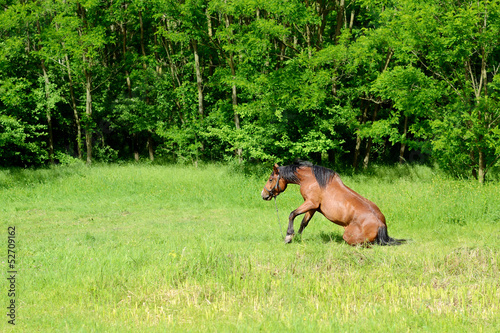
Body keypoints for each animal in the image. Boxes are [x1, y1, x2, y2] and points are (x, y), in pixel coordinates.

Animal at [262, 160, 406, 245]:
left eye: (270, 179)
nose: (263, 195)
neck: (311, 179)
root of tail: (381, 225)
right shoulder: (313, 207)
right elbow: (304, 222)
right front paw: (296, 237)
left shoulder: (310, 203)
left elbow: (292, 214)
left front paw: (288, 236)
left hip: (348, 236)